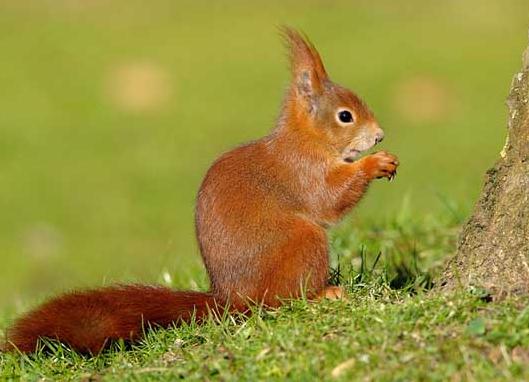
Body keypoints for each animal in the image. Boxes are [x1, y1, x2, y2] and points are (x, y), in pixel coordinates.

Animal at [3, 28, 396, 354]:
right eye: (345, 116)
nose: (379, 136)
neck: (307, 138)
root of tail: (232, 300)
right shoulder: (302, 170)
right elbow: (329, 199)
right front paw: (375, 164)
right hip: (302, 243)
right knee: (280, 302)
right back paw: (323, 294)